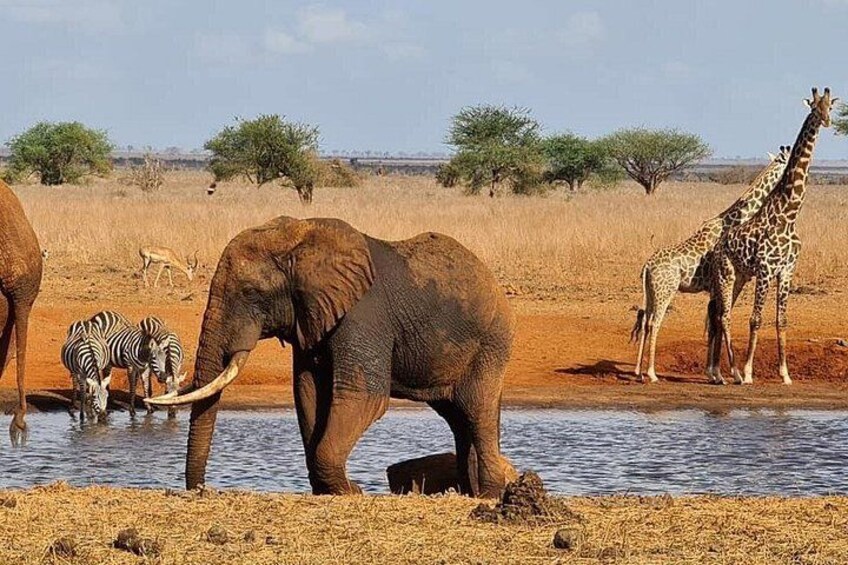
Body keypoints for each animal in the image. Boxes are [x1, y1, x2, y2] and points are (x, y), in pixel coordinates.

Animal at [148, 216, 515, 497]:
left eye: (251, 293)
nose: (201, 490)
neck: (300, 239)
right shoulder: (310, 320)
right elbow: (309, 394)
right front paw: (331, 491)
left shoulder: (363, 316)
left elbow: (362, 397)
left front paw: (351, 491)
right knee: (460, 419)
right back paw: (471, 491)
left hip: (490, 344)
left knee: (477, 411)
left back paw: (488, 494)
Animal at [632, 145, 791, 383]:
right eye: (786, 160)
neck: (735, 219)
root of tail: (647, 267)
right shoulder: (721, 284)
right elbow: (717, 321)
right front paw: (719, 374)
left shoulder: (715, 288)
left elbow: (713, 324)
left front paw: (713, 373)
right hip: (665, 291)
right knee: (654, 322)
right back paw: (651, 373)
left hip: (650, 292)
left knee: (644, 320)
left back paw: (639, 372)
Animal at [710, 87, 838, 386]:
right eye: (814, 107)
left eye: (831, 107)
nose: (826, 121)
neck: (789, 215)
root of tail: (718, 247)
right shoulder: (766, 269)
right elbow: (755, 319)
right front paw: (748, 373)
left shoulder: (787, 270)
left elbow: (782, 321)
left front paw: (785, 374)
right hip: (727, 273)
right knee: (725, 316)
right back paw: (734, 372)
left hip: (742, 276)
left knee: (721, 314)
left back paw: (721, 372)